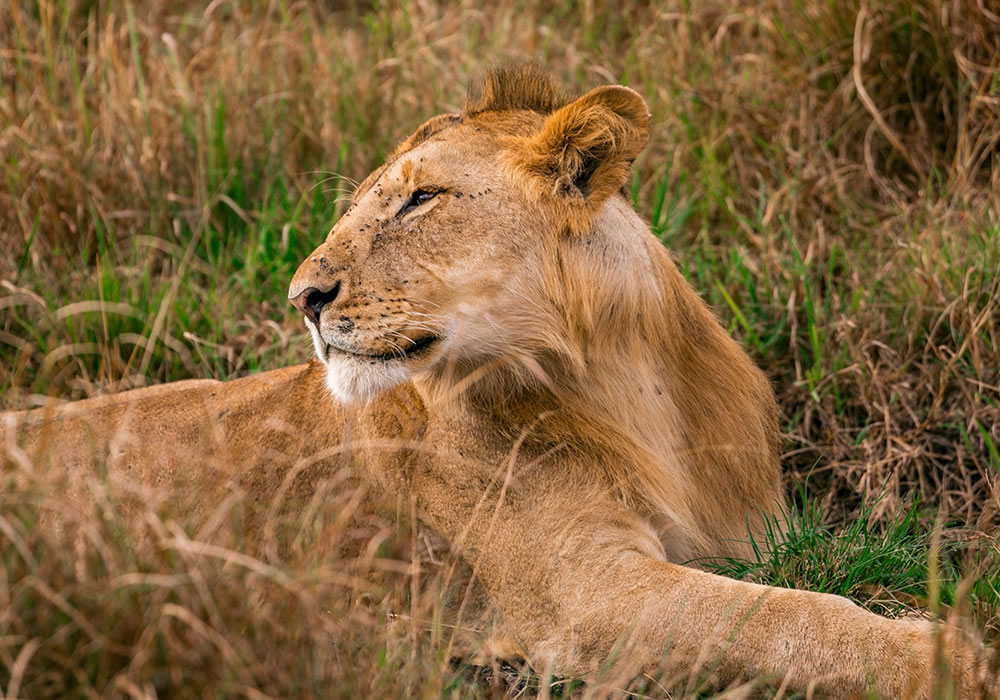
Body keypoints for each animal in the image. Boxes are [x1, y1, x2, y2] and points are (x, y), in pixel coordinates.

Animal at [3, 64, 996, 696]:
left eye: (418, 199)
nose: (303, 299)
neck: (625, 389)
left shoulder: (746, 535)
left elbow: (789, 600)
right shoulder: (587, 598)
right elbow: (793, 618)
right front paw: (948, 659)